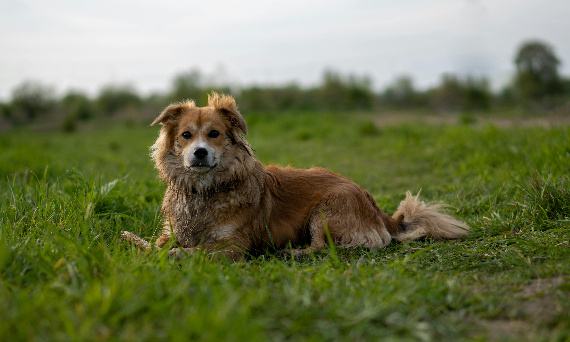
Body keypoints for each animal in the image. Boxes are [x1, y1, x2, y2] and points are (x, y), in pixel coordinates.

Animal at [118, 92, 466, 260]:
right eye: (186, 135)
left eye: (214, 134)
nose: (199, 153)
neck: (206, 190)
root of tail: (377, 208)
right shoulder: (172, 229)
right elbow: (157, 242)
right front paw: (132, 241)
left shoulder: (234, 245)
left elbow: (192, 251)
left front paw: (172, 255)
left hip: (325, 211)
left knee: (327, 248)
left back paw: (293, 253)